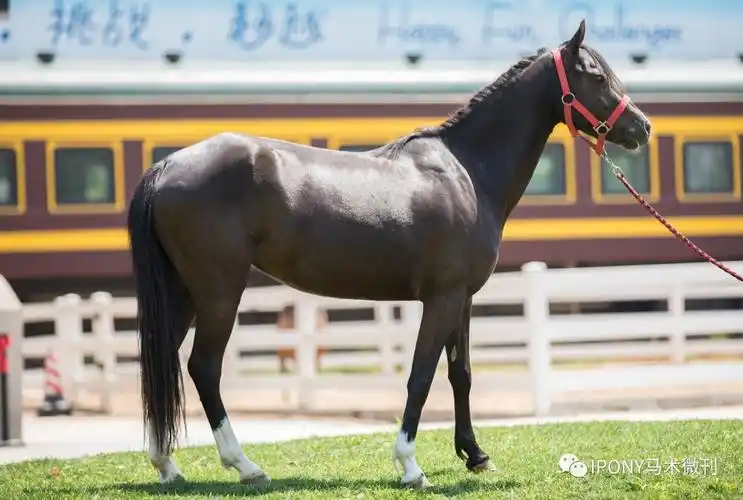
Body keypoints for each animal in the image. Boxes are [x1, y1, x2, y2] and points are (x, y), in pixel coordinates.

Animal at [126, 19, 650, 490]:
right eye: (595, 75)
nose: (642, 126)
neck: (467, 171)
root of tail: (166, 166)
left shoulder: (462, 299)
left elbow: (460, 373)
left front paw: (475, 454)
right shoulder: (440, 299)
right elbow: (420, 376)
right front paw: (410, 465)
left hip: (182, 294)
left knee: (162, 359)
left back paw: (167, 465)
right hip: (219, 292)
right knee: (203, 368)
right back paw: (245, 466)